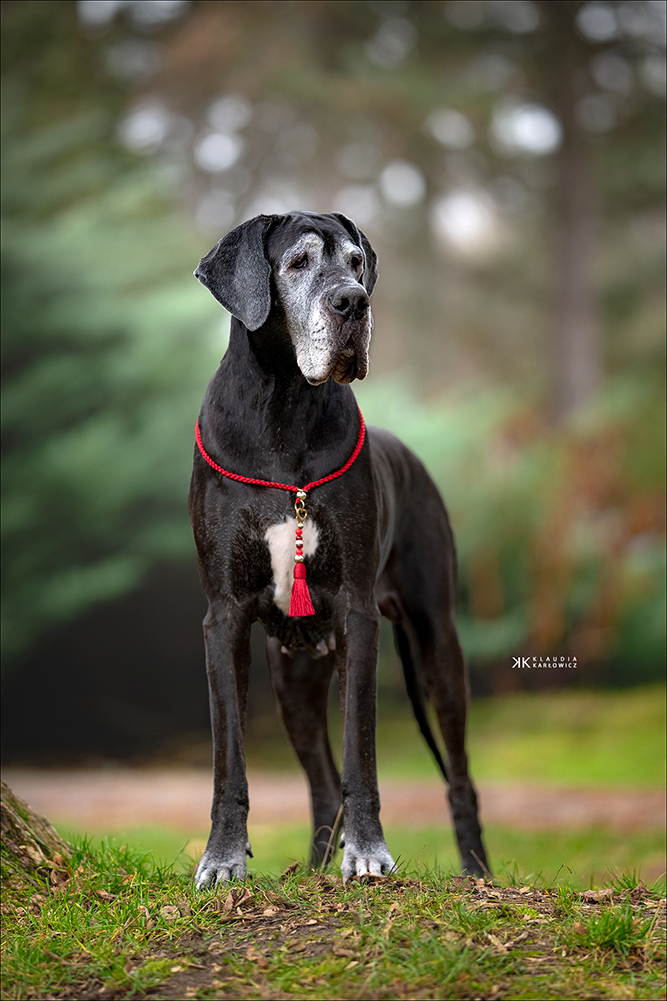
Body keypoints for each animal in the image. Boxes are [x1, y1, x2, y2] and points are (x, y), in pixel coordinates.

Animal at [190, 211, 488, 887]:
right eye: (297, 263)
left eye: (355, 262)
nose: (354, 301)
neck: (284, 407)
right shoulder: (224, 616)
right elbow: (228, 759)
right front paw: (222, 857)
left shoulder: (358, 613)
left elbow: (362, 750)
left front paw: (370, 850)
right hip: (293, 675)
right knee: (322, 785)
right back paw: (314, 865)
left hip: (437, 642)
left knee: (459, 777)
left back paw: (477, 871)